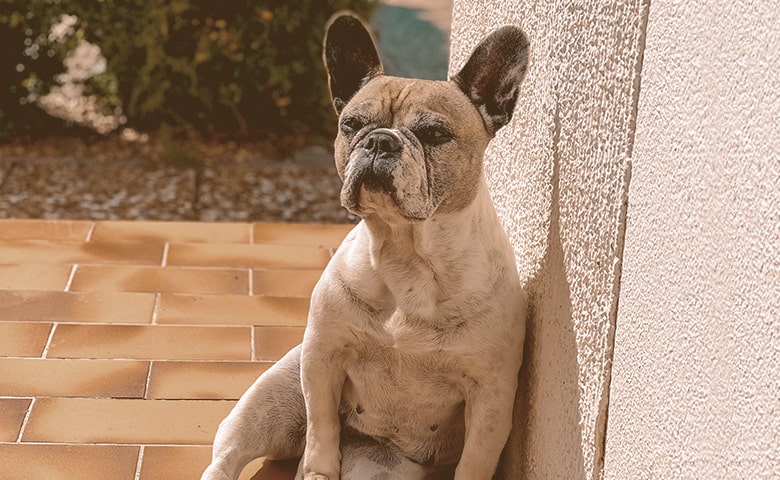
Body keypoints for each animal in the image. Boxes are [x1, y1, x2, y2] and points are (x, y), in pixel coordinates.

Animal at [201, 11, 532, 480]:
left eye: (435, 134)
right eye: (352, 125)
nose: (380, 140)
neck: (407, 254)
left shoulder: (491, 399)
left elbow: (474, 462)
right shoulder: (322, 358)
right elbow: (322, 431)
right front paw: (319, 467)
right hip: (270, 402)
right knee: (229, 457)